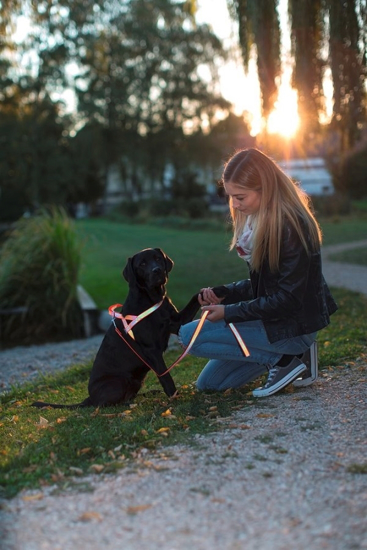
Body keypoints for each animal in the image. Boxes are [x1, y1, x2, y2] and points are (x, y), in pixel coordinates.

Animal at [33, 250, 201, 410]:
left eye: (158, 258)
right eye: (142, 264)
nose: (157, 270)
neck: (152, 298)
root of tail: (90, 398)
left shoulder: (178, 322)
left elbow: (196, 296)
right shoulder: (151, 350)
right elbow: (165, 377)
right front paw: (175, 397)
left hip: (136, 381)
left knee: (129, 396)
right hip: (118, 382)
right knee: (105, 404)